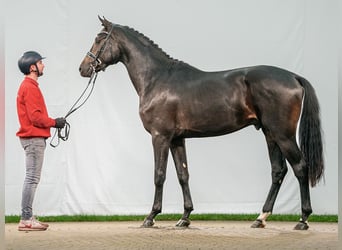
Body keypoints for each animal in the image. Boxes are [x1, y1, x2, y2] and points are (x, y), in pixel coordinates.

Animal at [79, 16, 324, 229]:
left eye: (99, 39)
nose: (83, 68)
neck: (157, 78)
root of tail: (294, 77)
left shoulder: (160, 137)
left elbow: (159, 175)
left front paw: (151, 217)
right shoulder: (177, 139)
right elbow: (183, 175)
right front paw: (185, 217)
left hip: (283, 135)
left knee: (300, 167)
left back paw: (303, 220)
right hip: (270, 133)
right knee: (278, 171)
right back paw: (260, 218)